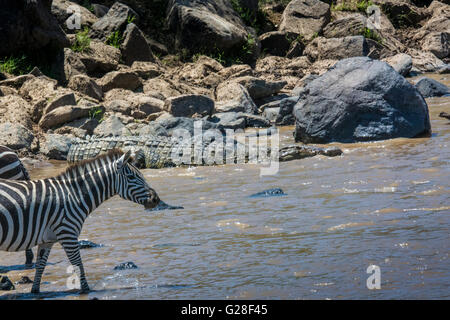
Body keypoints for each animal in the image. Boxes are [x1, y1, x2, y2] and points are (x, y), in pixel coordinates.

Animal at [0, 149, 162, 294]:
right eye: (132, 177)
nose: (156, 199)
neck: (74, 195)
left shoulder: (47, 240)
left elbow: (40, 266)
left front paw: (35, 291)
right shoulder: (68, 234)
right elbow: (78, 264)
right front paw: (86, 290)